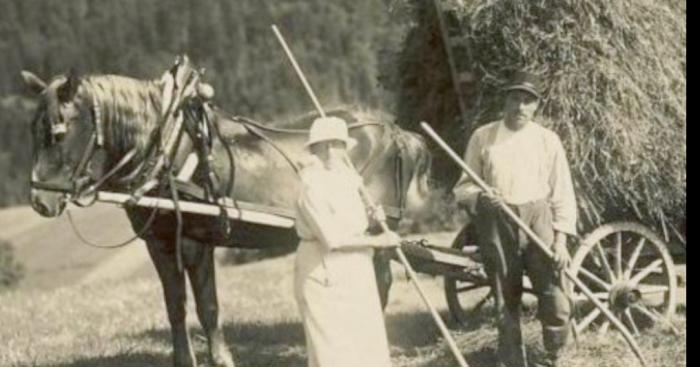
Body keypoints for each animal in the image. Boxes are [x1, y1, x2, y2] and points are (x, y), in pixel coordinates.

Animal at [21, 69, 434, 367]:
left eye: (58, 132)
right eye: (32, 129)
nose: (39, 201)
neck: (167, 150)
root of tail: (393, 130)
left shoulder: (194, 241)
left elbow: (208, 308)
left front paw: (221, 359)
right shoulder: (159, 244)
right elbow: (176, 306)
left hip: (375, 228)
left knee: (379, 283)